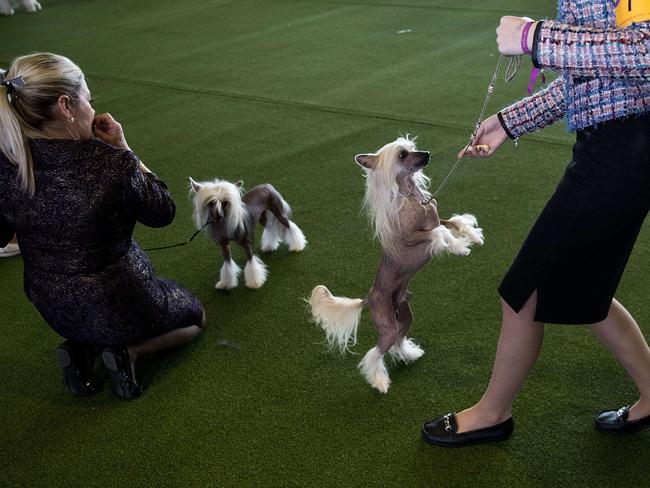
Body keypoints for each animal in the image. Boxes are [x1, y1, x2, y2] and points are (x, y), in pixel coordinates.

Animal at [308, 136, 480, 392]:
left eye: (411, 149)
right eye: (402, 155)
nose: (427, 154)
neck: (414, 198)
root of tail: (368, 298)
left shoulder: (438, 216)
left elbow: (453, 222)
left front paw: (473, 236)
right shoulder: (411, 238)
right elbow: (440, 232)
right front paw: (459, 247)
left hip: (405, 316)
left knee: (399, 339)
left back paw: (409, 354)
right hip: (387, 324)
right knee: (377, 352)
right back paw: (379, 381)